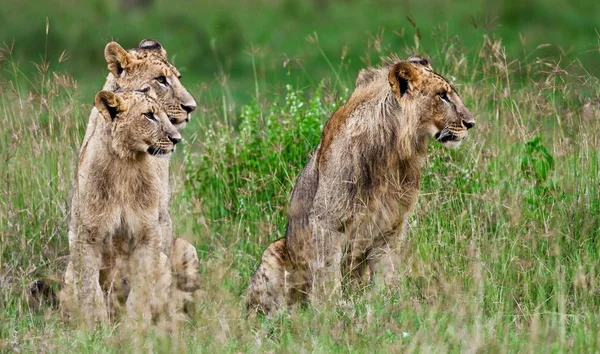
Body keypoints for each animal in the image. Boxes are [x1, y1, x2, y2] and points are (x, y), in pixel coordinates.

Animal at [63, 88, 182, 326]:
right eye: (149, 115)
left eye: (165, 115)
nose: (177, 139)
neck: (125, 163)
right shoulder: (86, 233)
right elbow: (89, 284)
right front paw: (94, 325)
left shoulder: (148, 232)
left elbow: (142, 284)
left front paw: (137, 325)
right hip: (69, 269)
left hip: (164, 262)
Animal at [246, 54, 476, 312]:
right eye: (442, 95)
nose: (471, 123)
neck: (393, 153)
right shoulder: (326, 222)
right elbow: (327, 275)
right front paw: (330, 310)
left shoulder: (391, 223)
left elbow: (386, 270)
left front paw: (386, 302)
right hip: (274, 250)